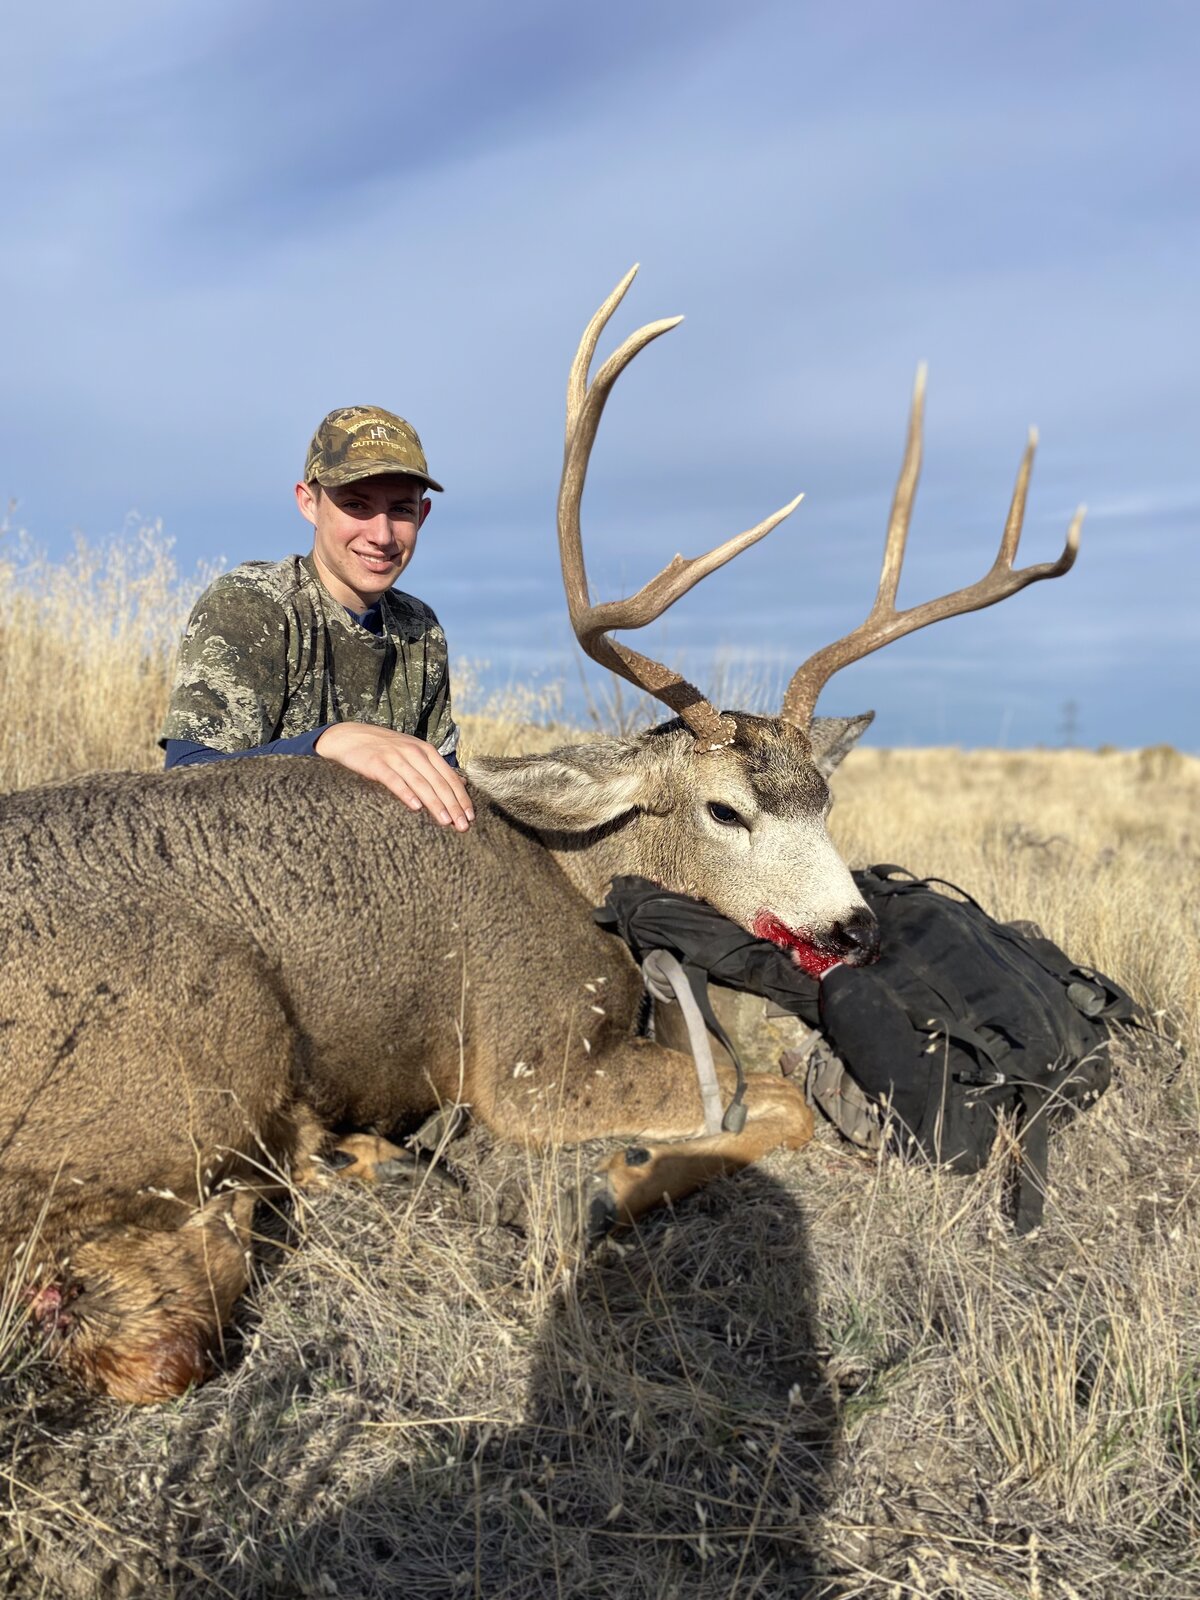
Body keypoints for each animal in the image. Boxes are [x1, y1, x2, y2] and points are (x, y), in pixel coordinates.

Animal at [0, 268, 1081, 1403]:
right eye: (725, 808)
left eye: (825, 796)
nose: (853, 928)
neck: (573, 875)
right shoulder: (526, 1055)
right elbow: (773, 1096)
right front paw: (610, 1173)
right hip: (210, 1045)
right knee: (155, 1325)